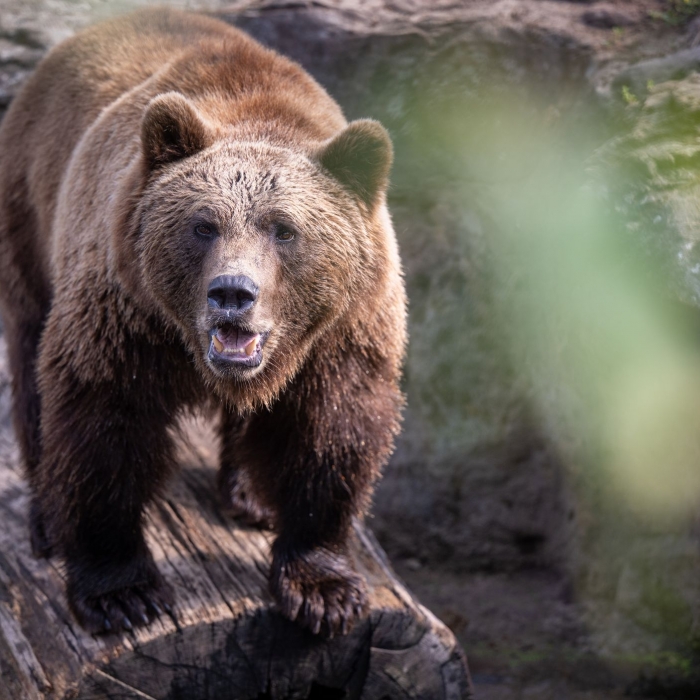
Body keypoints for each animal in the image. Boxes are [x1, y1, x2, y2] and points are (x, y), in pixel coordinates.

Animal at [0, 8, 406, 637]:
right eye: (203, 225)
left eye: (283, 229)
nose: (231, 293)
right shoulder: (125, 314)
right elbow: (101, 423)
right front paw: (121, 592)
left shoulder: (343, 330)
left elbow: (331, 431)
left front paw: (323, 589)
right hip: (31, 215)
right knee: (31, 360)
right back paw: (46, 518)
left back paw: (252, 496)